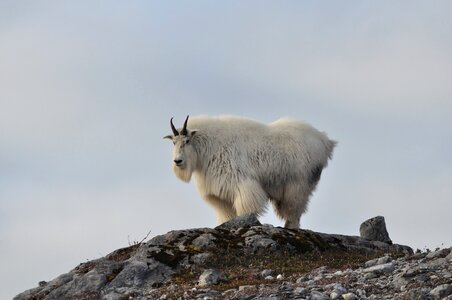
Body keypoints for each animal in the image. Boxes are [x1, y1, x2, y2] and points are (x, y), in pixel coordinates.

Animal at [164, 116, 334, 229]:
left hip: (298, 184)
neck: (208, 146)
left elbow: (245, 208)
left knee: (294, 210)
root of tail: (324, 141)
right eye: (173, 142)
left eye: (187, 141)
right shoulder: (219, 195)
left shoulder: (242, 183)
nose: (177, 161)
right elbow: (226, 215)